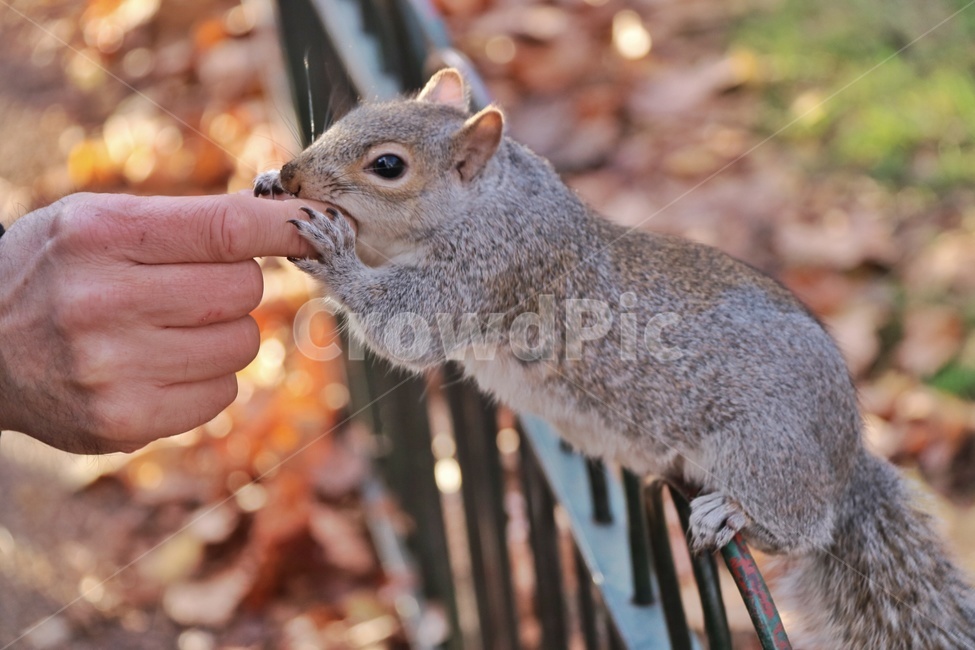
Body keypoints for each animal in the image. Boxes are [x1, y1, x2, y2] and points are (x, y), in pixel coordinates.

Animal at [255, 69, 975, 648]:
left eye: (388, 166)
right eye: (349, 119)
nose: (291, 175)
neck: (488, 198)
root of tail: (845, 454)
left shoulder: (491, 267)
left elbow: (405, 328)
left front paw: (333, 253)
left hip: (764, 447)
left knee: (800, 525)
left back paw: (732, 513)